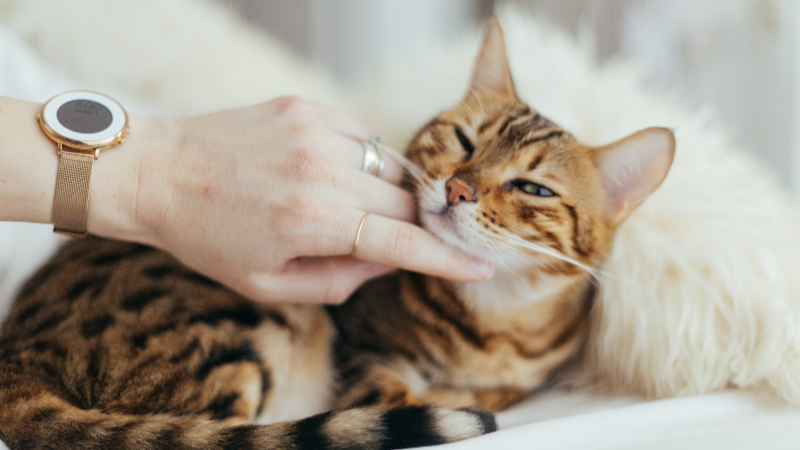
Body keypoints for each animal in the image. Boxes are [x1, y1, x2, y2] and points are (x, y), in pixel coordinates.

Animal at [0, 18, 676, 450]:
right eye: (463, 141)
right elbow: (399, 397)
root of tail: (16, 355)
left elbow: (493, 394)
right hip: (239, 316)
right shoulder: (362, 351)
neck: (494, 322)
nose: (458, 189)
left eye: (534, 189)